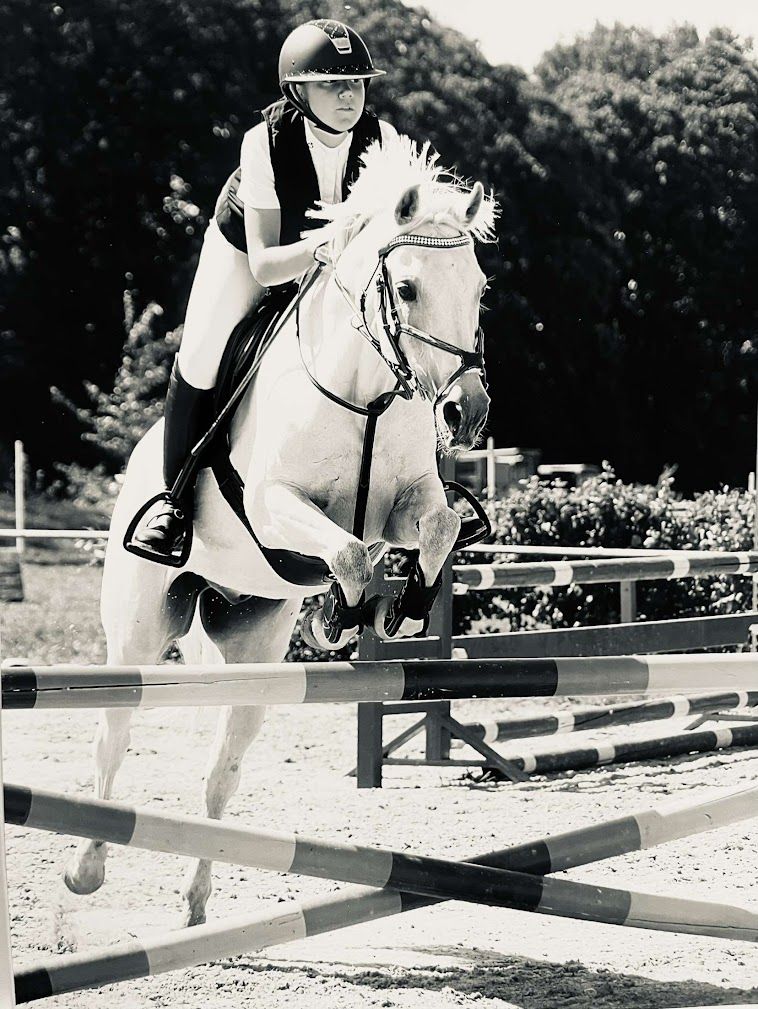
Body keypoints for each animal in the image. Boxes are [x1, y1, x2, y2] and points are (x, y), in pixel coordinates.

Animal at [63, 134, 497, 927]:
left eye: (479, 289)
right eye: (409, 288)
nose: (466, 412)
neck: (365, 394)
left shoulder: (407, 505)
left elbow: (439, 525)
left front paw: (400, 605)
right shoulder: (273, 505)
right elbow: (348, 549)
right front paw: (345, 611)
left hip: (254, 644)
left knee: (220, 775)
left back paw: (196, 901)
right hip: (138, 628)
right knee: (114, 735)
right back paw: (86, 868)